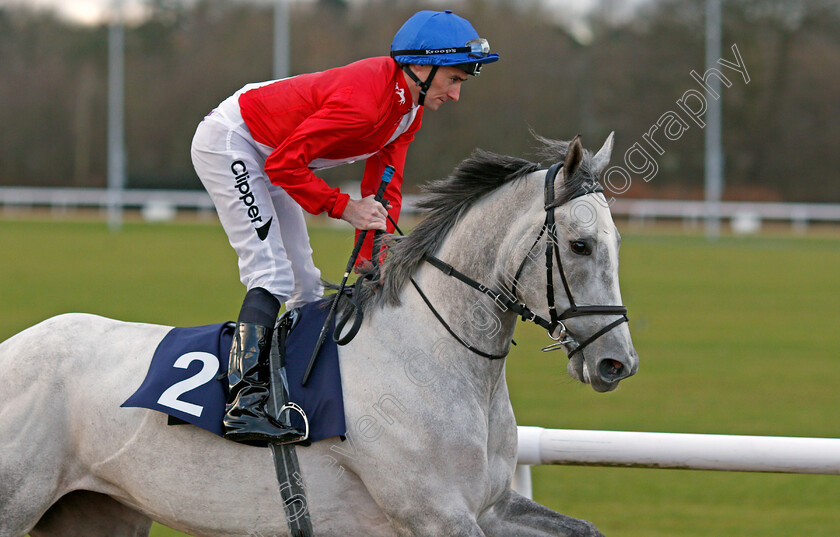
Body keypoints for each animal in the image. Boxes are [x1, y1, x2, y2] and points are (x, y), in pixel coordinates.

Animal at [0, 134, 636, 536]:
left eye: (616, 243)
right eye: (580, 244)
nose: (618, 363)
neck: (429, 355)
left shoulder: (491, 506)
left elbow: (586, 529)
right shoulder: (436, 514)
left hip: (99, 510)